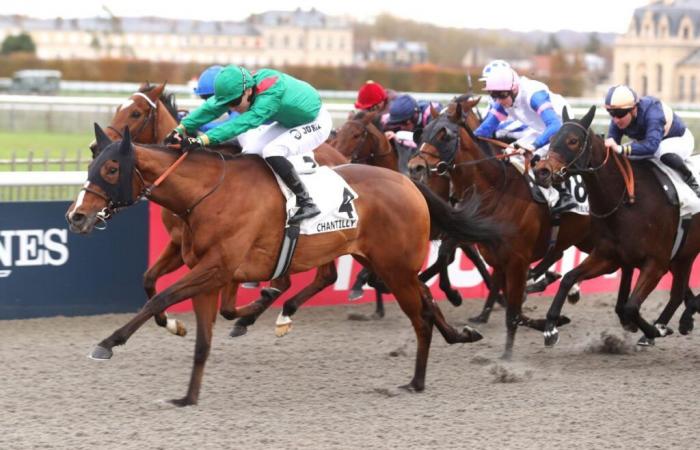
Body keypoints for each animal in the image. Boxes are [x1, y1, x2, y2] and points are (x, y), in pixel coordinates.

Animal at [65, 124, 506, 404]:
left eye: (111, 168)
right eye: (91, 163)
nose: (76, 216)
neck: (207, 193)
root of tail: (408, 182)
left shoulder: (216, 268)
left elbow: (161, 298)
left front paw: (108, 343)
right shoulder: (211, 271)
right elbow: (201, 332)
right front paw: (187, 395)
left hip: (395, 268)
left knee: (420, 316)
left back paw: (416, 381)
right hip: (384, 263)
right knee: (425, 302)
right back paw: (459, 337)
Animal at [99, 82, 348, 340]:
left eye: (136, 113)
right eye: (118, 108)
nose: (97, 145)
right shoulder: (180, 242)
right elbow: (149, 278)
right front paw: (171, 323)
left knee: (317, 276)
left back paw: (274, 315)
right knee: (310, 277)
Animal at [408, 99, 592, 358]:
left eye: (445, 135)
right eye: (422, 132)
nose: (415, 167)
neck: (496, 191)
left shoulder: (516, 259)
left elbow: (513, 311)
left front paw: (507, 355)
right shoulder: (491, 249)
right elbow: (510, 303)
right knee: (555, 257)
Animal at [532, 107, 700, 346]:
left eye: (573, 140)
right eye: (553, 138)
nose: (541, 171)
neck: (627, 201)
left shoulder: (656, 263)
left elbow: (630, 307)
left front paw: (654, 331)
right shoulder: (609, 256)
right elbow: (568, 278)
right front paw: (550, 328)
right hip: (684, 255)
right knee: (677, 293)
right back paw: (672, 322)